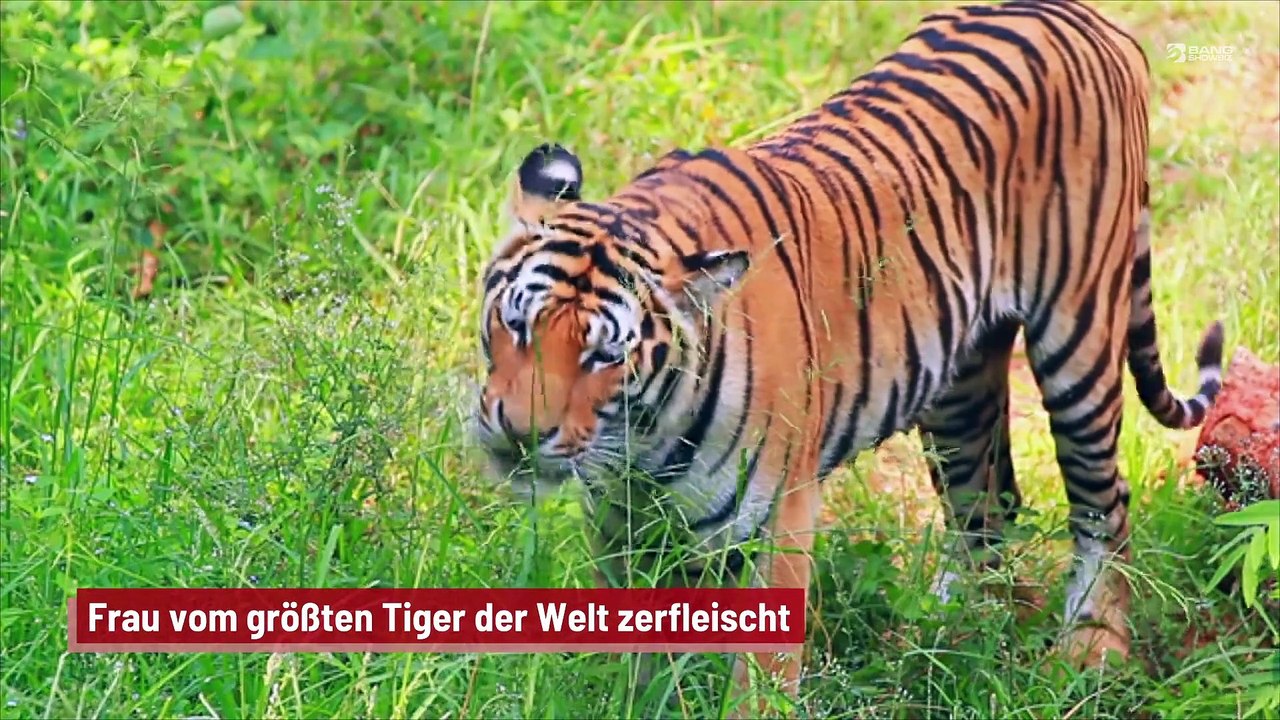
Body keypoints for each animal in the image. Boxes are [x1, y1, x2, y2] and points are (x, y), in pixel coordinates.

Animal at [473, 0, 1224, 708]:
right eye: (516, 323)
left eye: (604, 357)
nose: (519, 433)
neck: (642, 438)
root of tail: (1085, 16)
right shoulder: (619, 518)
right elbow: (641, 649)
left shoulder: (779, 513)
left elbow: (761, 674)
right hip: (957, 386)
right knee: (988, 508)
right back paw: (948, 636)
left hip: (1079, 339)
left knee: (1104, 503)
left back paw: (1092, 652)